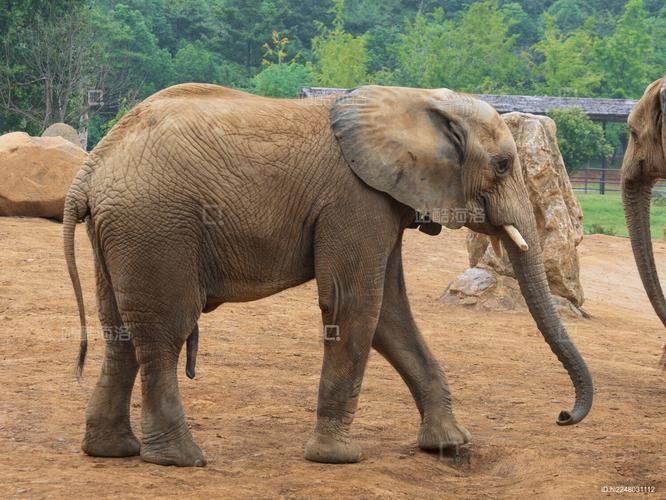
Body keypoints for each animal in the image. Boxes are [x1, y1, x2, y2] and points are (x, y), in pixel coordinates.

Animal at [63, 84, 593, 467]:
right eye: (503, 166)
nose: (563, 416)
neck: (417, 100)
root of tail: (91, 167)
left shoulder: (383, 201)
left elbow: (390, 315)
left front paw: (451, 445)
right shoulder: (355, 199)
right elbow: (356, 305)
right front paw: (338, 458)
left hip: (124, 230)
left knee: (120, 332)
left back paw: (113, 452)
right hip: (156, 225)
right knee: (164, 333)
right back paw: (182, 460)